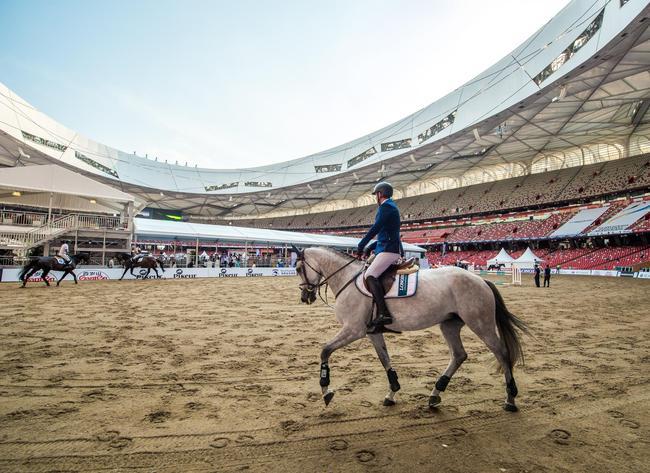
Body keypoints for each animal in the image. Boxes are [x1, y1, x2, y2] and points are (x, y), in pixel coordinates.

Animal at [294, 245, 528, 412]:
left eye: (297, 269)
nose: (305, 297)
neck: (348, 280)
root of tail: (481, 280)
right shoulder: (372, 333)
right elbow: (385, 359)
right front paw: (392, 393)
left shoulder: (353, 330)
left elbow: (325, 350)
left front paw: (326, 390)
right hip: (449, 324)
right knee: (459, 355)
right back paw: (435, 394)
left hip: (481, 324)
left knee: (501, 353)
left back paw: (510, 398)